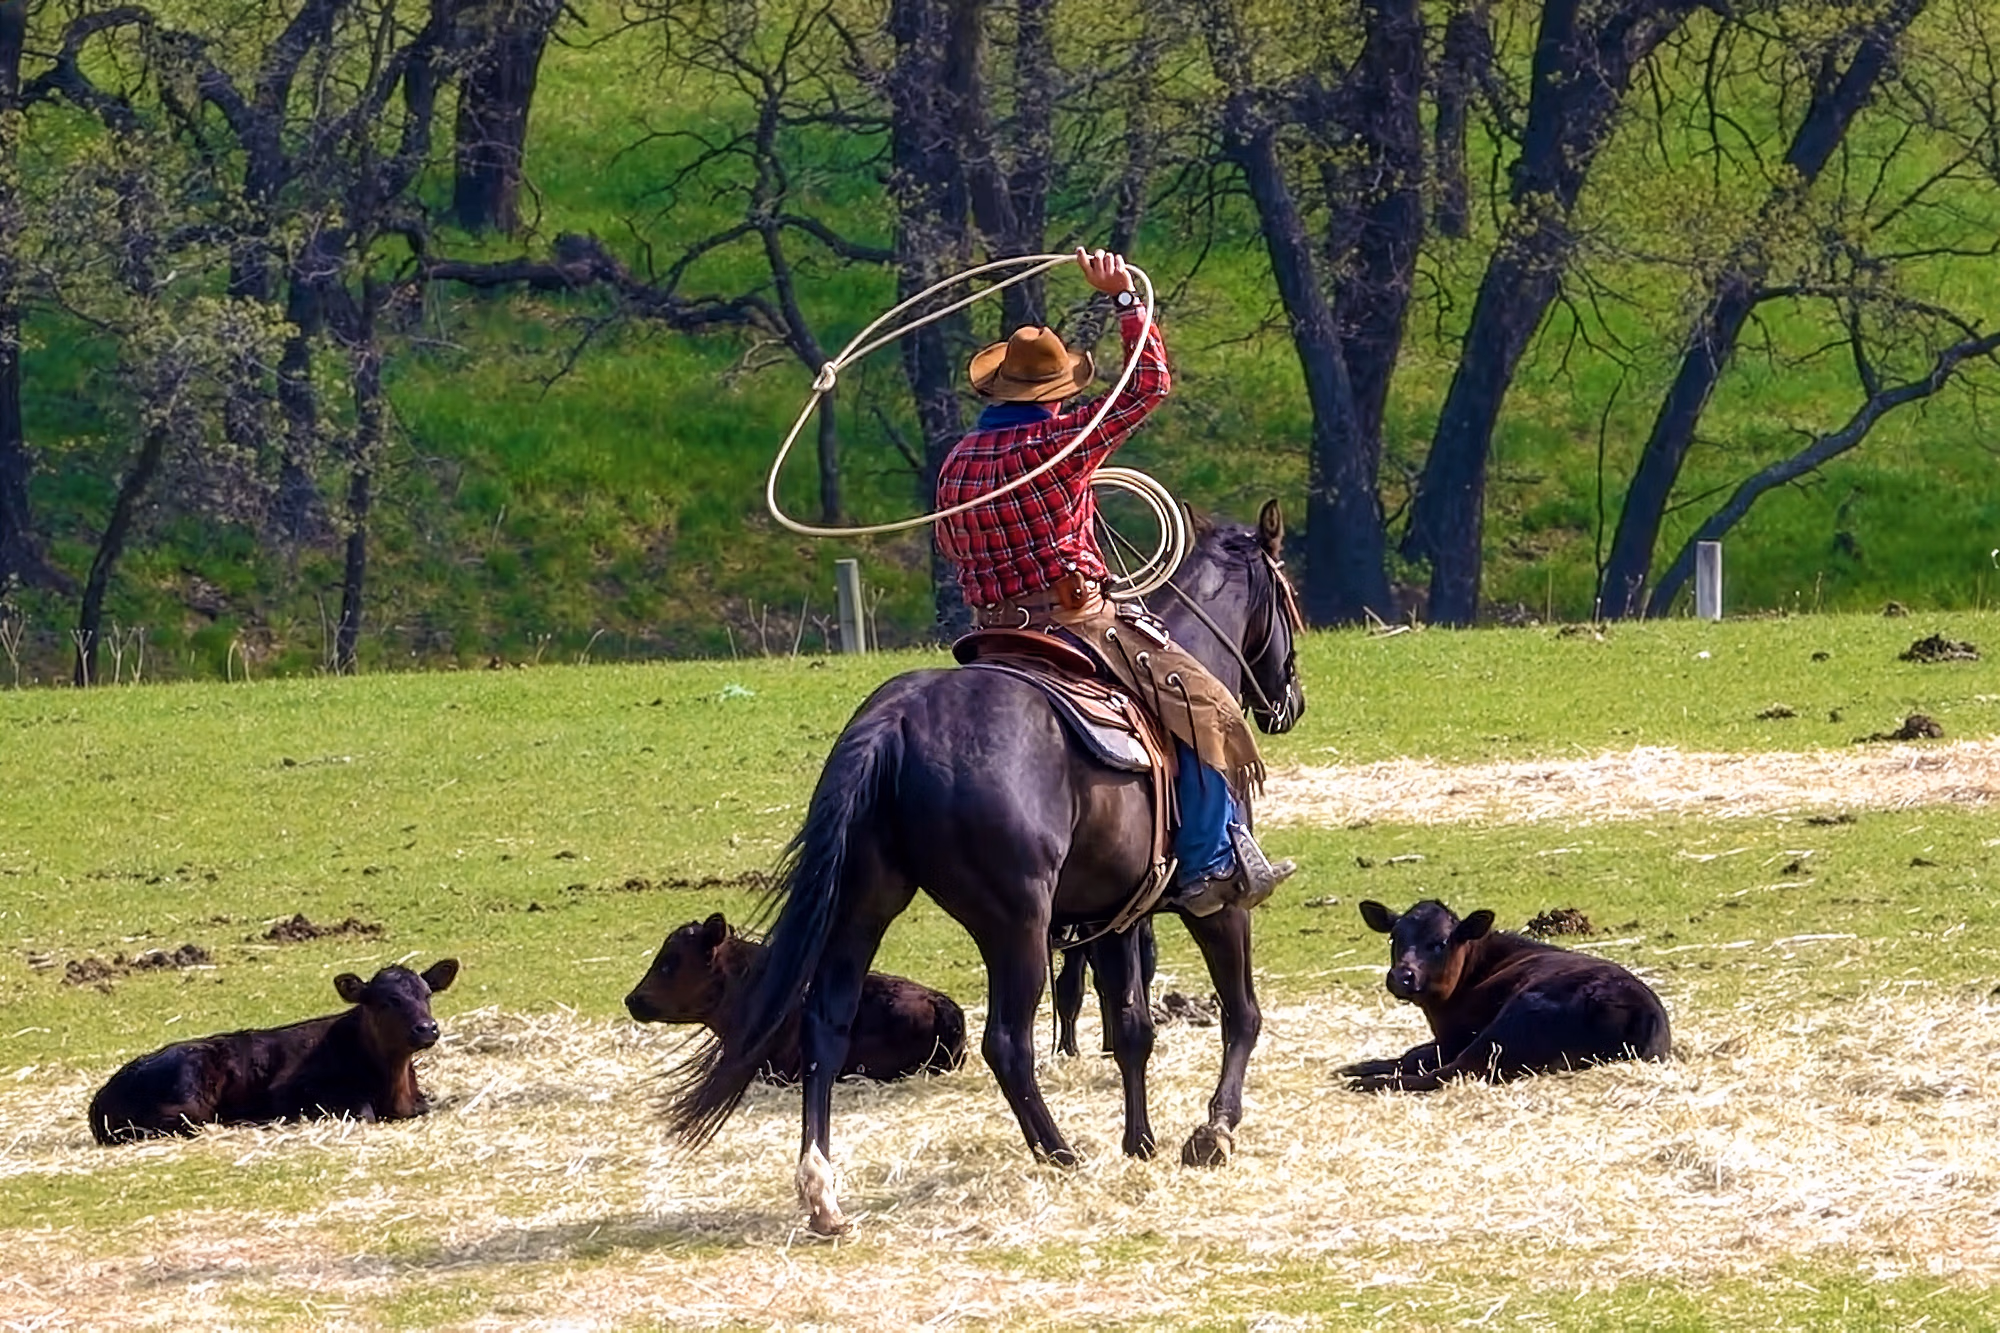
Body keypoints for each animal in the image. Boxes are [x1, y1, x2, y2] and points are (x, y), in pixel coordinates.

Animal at [665, 500, 1306, 1235]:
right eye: (1290, 596)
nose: (1291, 702)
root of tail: (898, 719)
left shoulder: (1115, 916)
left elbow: (1132, 1030)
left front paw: (1139, 1143)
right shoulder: (1219, 903)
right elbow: (1241, 1013)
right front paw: (1215, 1130)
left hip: (864, 904)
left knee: (826, 1026)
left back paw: (821, 1189)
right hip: (1014, 923)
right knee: (1007, 1042)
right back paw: (1059, 1153)